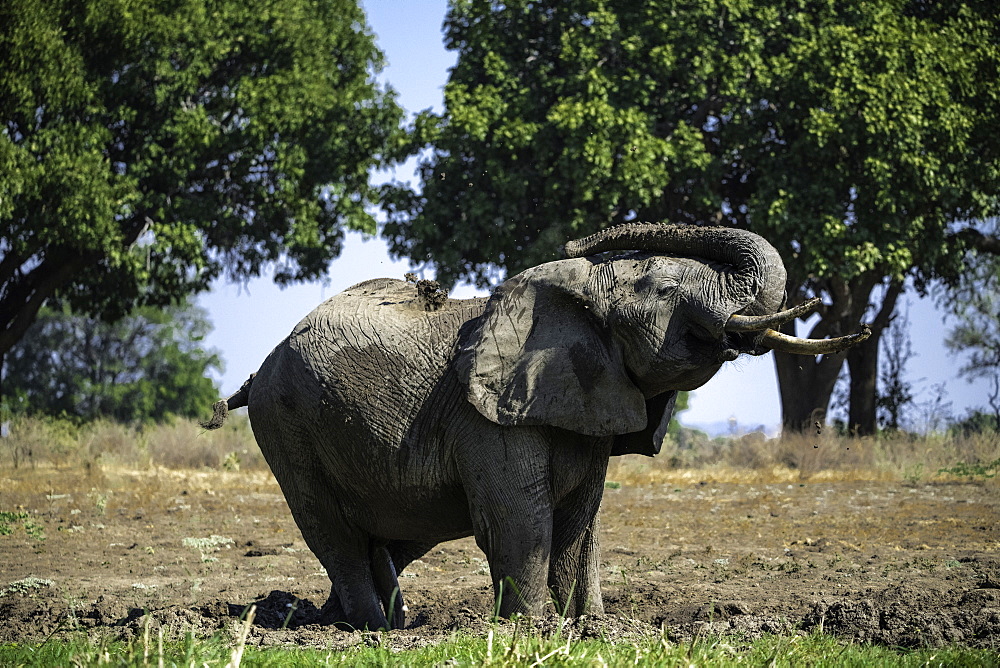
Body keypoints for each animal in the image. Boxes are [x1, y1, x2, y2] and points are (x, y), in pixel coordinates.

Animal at [201, 223, 868, 632]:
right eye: (663, 289)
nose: (579, 236)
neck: (577, 295)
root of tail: (257, 372)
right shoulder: (487, 416)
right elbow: (522, 518)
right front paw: (531, 629)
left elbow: (582, 520)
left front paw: (588, 627)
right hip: (287, 428)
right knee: (334, 533)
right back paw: (368, 629)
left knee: (388, 536)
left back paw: (361, 621)